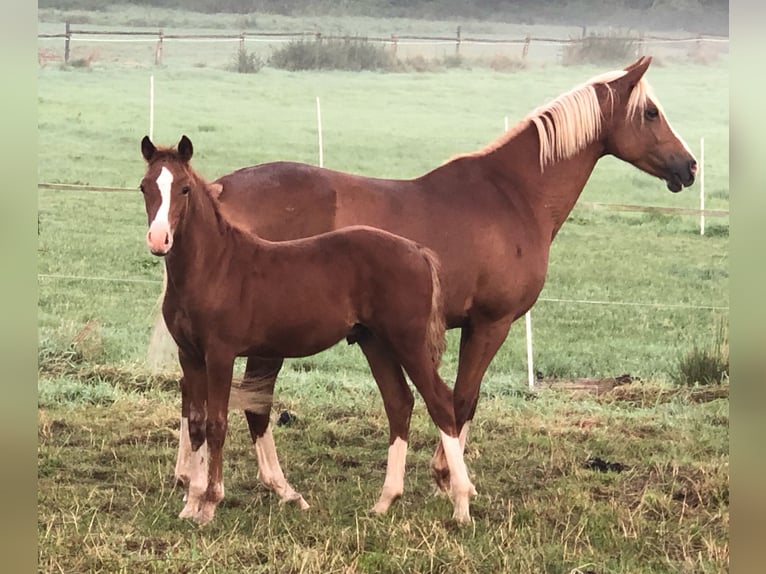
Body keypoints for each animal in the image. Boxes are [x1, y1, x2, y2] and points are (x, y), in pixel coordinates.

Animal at [138, 136, 474, 528]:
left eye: (185, 188)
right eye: (145, 187)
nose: (159, 240)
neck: (214, 267)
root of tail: (418, 251)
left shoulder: (220, 354)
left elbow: (216, 424)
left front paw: (210, 503)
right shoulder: (189, 354)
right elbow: (196, 424)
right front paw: (191, 503)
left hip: (409, 342)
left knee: (440, 401)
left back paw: (461, 503)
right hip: (375, 342)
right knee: (399, 402)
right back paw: (385, 501)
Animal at [165, 56, 700, 500]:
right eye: (651, 112)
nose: (690, 166)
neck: (512, 194)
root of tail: (221, 187)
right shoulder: (490, 323)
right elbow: (462, 399)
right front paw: (449, 477)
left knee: (204, 395)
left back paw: (197, 477)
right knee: (251, 404)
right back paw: (267, 487)